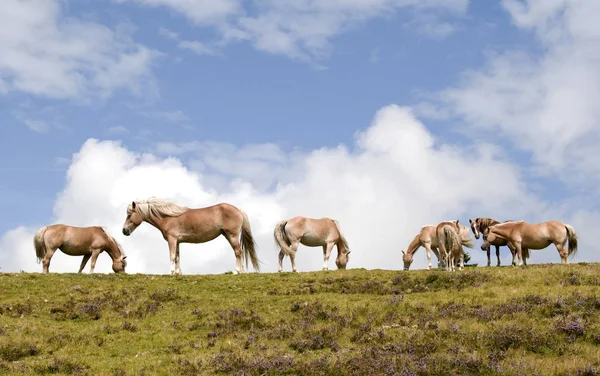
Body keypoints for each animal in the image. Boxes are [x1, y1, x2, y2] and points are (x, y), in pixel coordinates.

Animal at [122, 198, 260, 274]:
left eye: (129, 215)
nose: (124, 231)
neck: (167, 217)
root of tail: (239, 210)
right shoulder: (177, 241)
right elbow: (177, 257)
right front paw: (178, 273)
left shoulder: (172, 239)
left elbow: (172, 256)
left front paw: (170, 272)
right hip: (227, 235)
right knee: (239, 252)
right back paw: (242, 271)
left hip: (232, 235)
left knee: (238, 251)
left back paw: (237, 271)